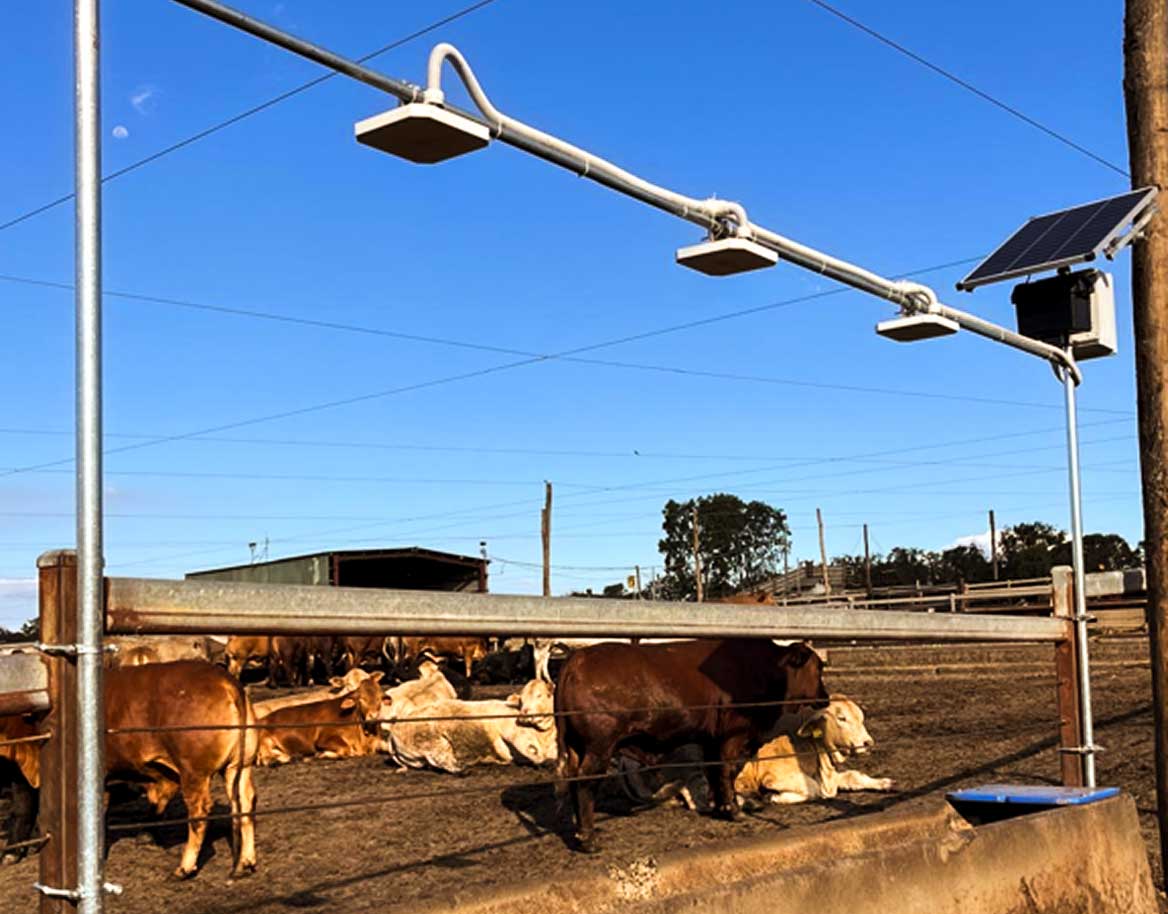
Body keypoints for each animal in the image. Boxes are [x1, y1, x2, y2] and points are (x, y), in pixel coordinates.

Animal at [105, 661, 257, 879]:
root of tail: (227, 681)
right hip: (240, 766)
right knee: (246, 803)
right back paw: (245, 863)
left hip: (193, 771)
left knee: (199, 813)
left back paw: (184, 869)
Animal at [256, 673, 385, 766]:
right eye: (361, 699)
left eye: (380, 698)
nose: (374, 715)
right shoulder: (324, 738)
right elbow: (346, 749)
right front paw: (323, 754)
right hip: (264, 741)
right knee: (264, 759)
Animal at [554, 639, 827, 852]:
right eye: (817, 668)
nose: (825, 697)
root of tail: (576, 659)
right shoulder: (733, 737)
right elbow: (726, 770)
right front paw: (733, 809)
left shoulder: (711, 740)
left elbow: (715, 771)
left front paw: (719, 806)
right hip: (598, 747)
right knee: (585, 782)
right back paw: (588, 838)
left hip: (576, 748)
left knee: (574, 780)